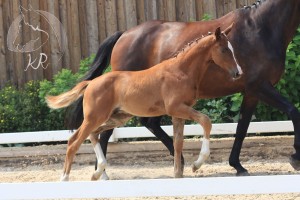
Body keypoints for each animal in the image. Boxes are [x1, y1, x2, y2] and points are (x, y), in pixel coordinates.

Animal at [48, 25, 243, 180]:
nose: (238, 72)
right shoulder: (177, 108)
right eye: (224, 50)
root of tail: (91, 83)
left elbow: (178, 143)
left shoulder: (178, 113)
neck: (181, 71)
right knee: (74, 141)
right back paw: (65, 178)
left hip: (117, 117)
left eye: (232, 48)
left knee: (94, 134)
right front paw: (197, 164)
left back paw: (98, 173)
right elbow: (206, 121)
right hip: (94, 117)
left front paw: (178, 174)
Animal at [68, 0, 300, 178]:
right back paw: (103, 172)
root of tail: (125, 34)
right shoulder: (260, 86)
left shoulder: (251, 92)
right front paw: (295, 158)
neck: (261, 28)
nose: (237, 71)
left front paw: (237, 165)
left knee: (143, 125)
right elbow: (293, 111)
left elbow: (242, 129)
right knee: (106, 131)